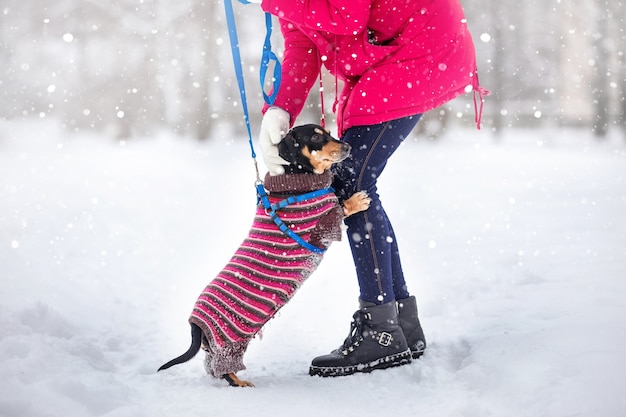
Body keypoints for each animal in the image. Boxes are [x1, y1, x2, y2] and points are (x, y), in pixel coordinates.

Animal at [157, 123, 370, 386]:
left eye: (328, 133)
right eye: (315, 136)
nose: (348, 146)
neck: (296, 183)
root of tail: (194, 325)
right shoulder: (322, 226)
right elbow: (340, 208)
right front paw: (357, 201)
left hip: (218, 344)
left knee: (210, 365)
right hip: (230, 341)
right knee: (224, 369)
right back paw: (239, 382)